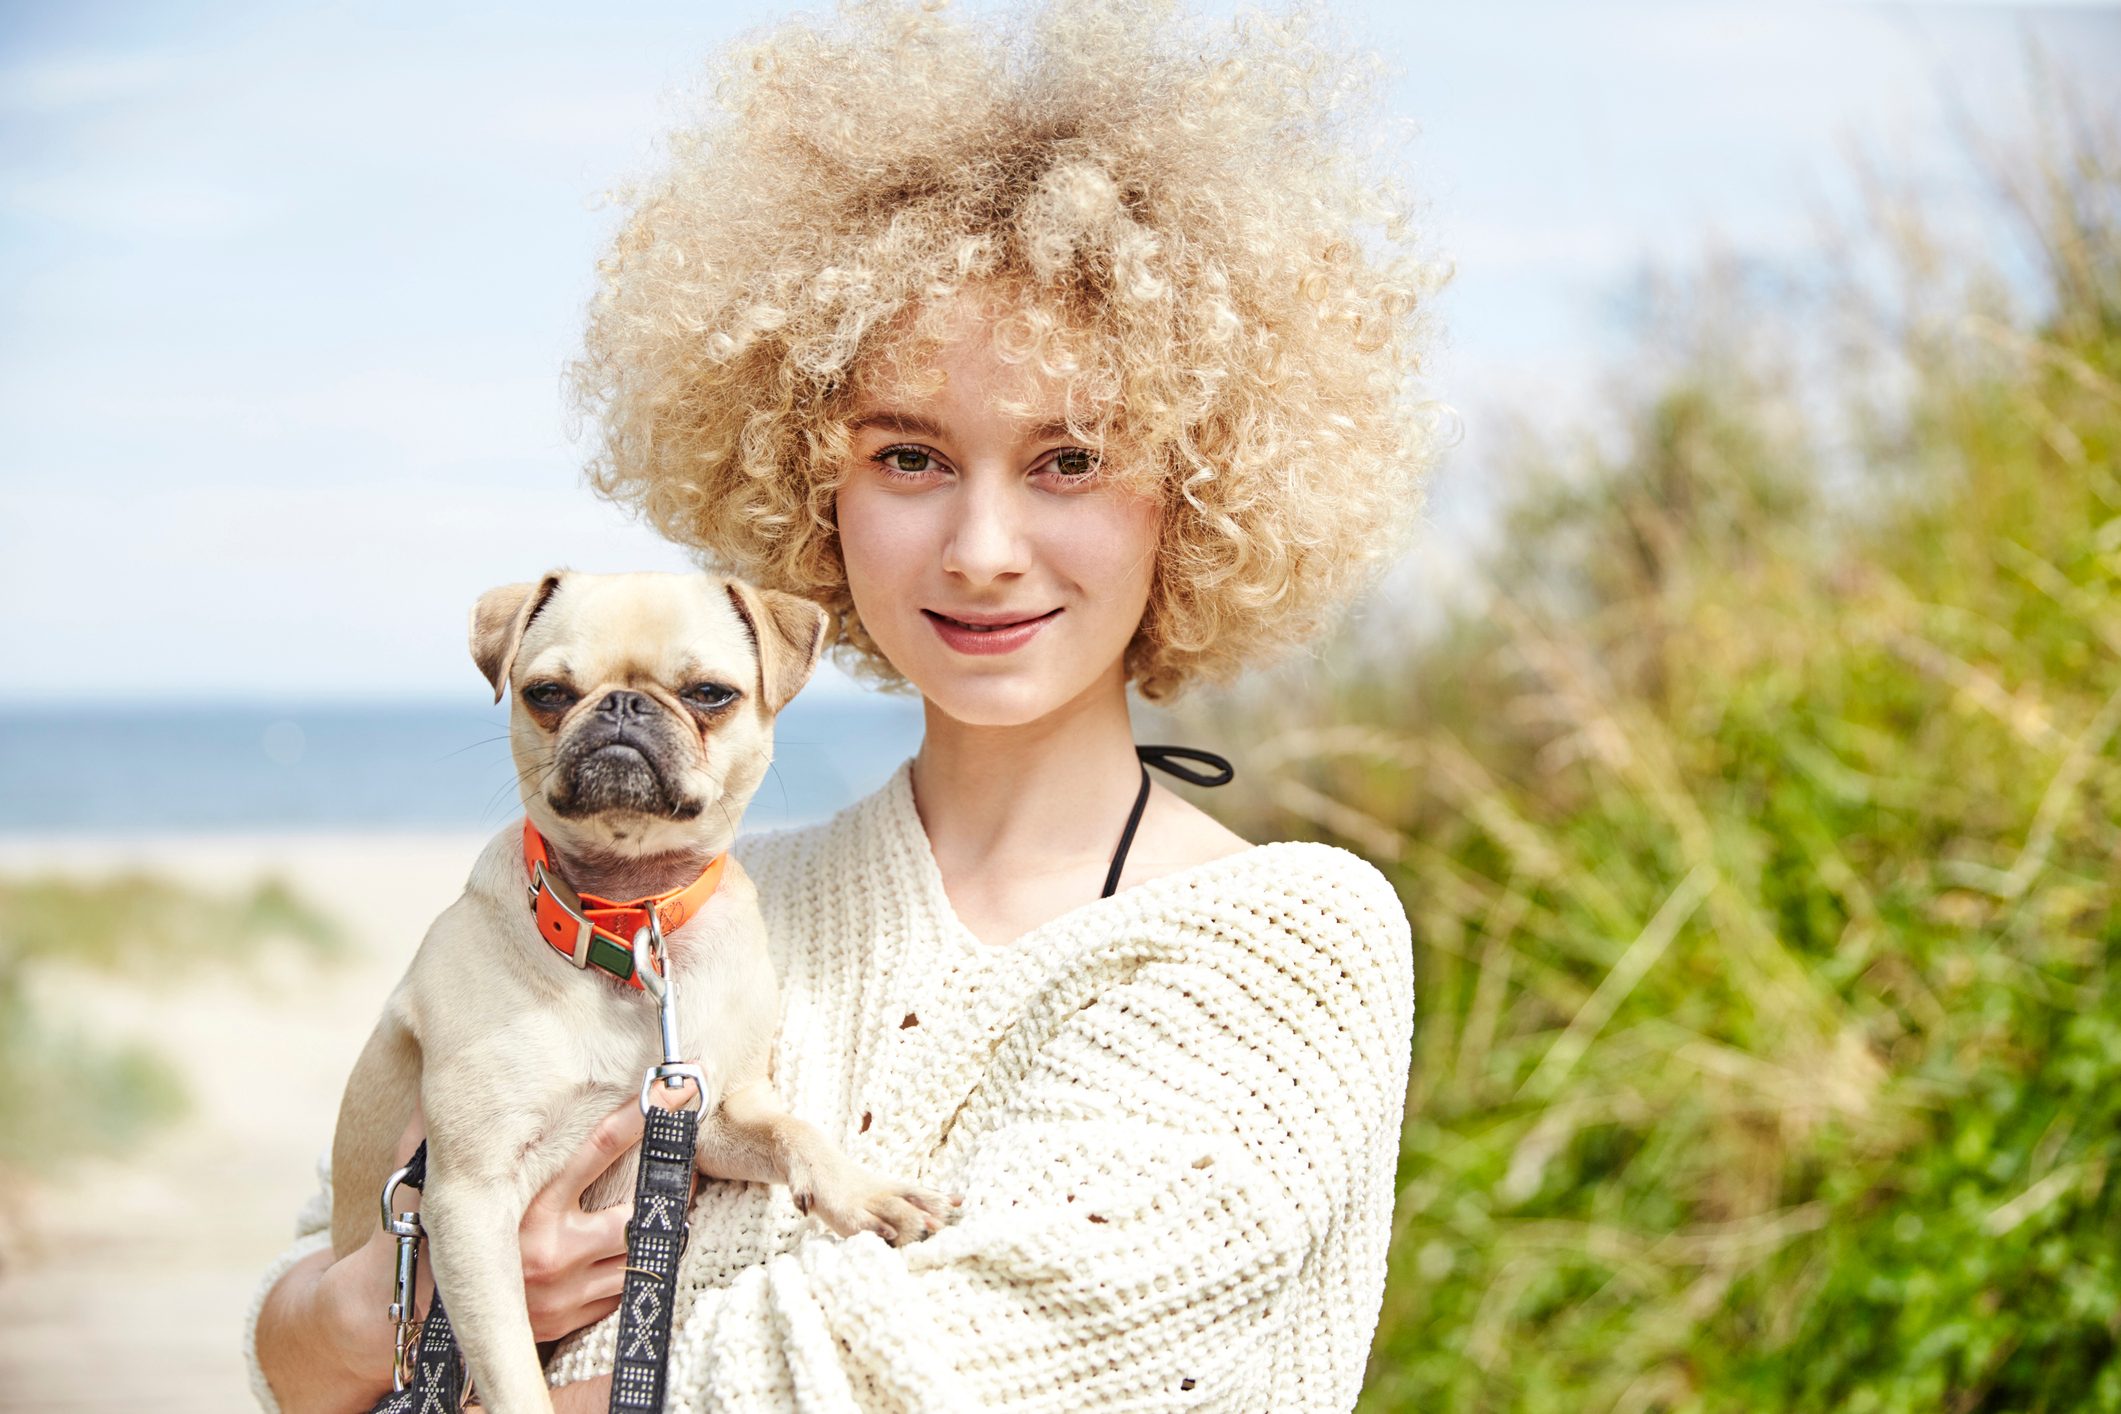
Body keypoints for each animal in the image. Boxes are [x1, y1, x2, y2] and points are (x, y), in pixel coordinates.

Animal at [328, 568, 954, 1407]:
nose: (622, 705)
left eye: (710, 694)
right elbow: (512, 1375)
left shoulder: (709, 1116)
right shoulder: (468, 1199)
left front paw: (864, 1192)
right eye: (547, 693)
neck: (628, 918)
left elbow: (797, 1133)